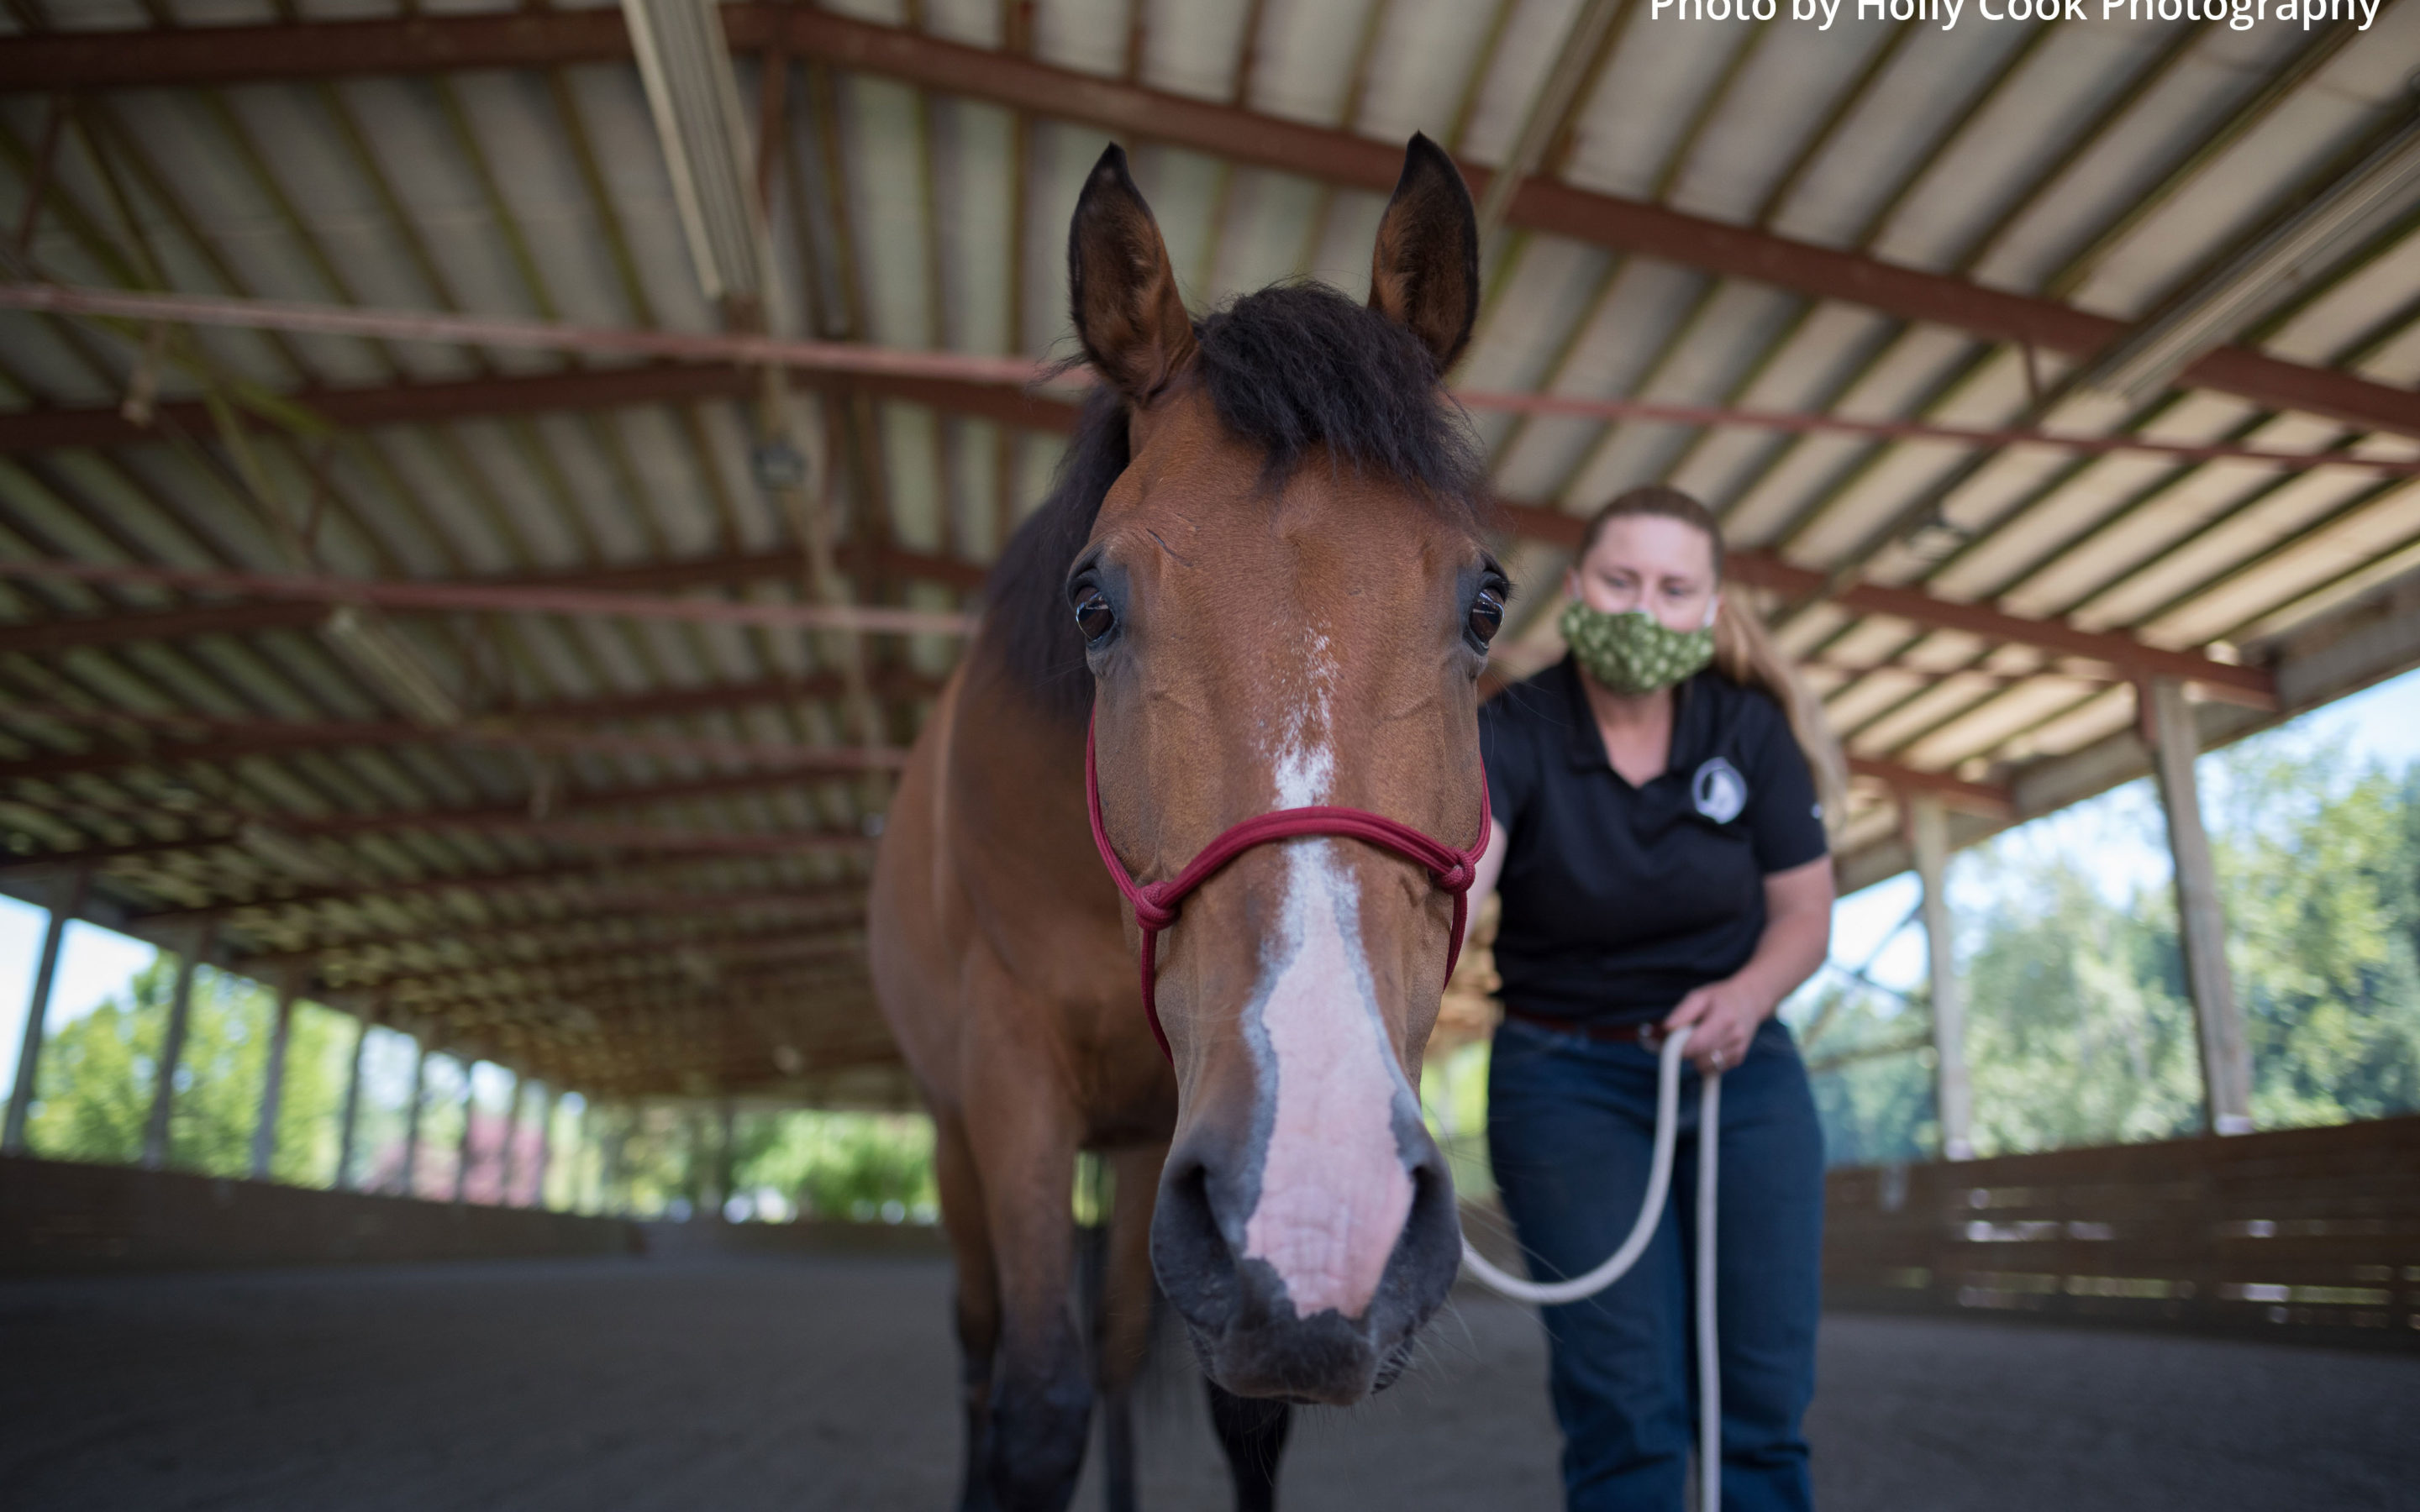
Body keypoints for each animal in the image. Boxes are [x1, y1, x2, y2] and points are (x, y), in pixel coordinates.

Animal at [871, 132, 1491, 1509]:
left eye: (1488, 601)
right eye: (1092, 604)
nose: (1325, 1200)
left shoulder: (1180, 1125)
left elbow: (1233, 1418)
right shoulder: (1011, 1083)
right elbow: (1035, 1411)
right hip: (959, 1143)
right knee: (985, 1355)